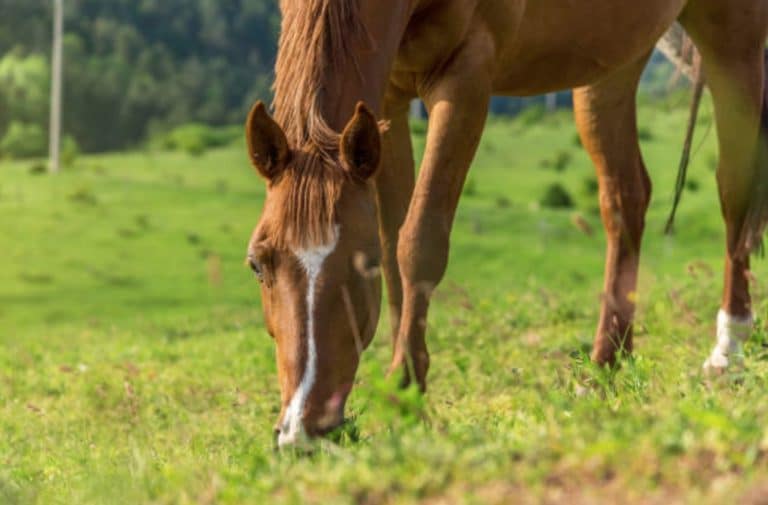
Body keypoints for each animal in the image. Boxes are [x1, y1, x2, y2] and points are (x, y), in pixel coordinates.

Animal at [244, 0, 768, 447]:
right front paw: (406, 383)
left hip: (732, 35)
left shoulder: (465, 79)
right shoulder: (388, 100)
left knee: (734, 188)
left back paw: (728, 348)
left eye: (358, 265)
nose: (301, 431)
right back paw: (604, 365)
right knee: (626, 197)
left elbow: (419, 242)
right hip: (614, 56)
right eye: (257, 264)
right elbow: (395, 247)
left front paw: (404, 391)